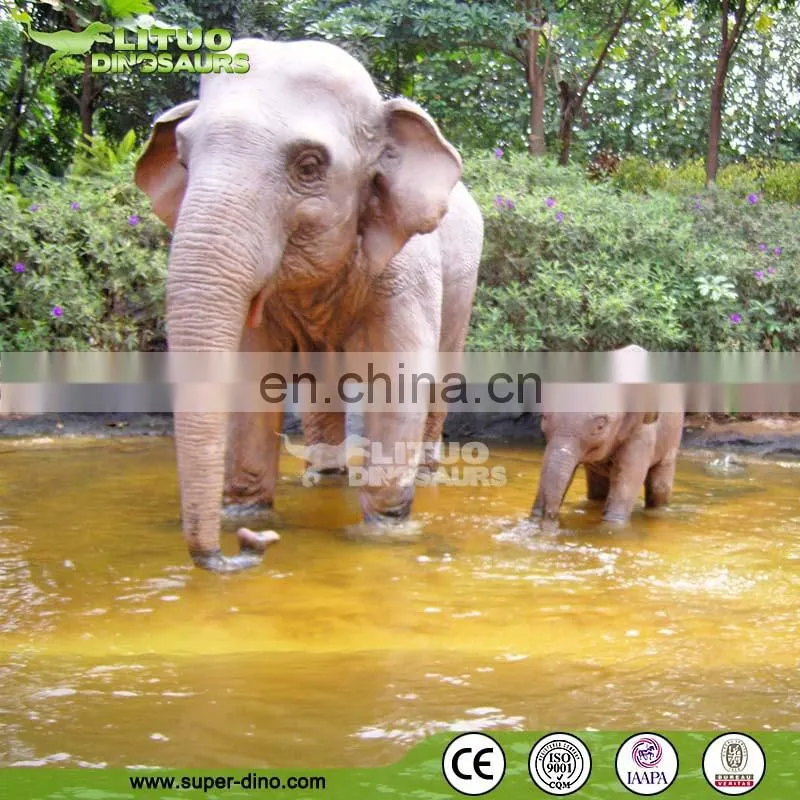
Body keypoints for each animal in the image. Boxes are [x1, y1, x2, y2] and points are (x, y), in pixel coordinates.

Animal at [134, 38, 483, 572]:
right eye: (184, 159)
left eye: (310, 165)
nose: (249, 545)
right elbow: (252, 375)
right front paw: (245, 513)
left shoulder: (407, 267)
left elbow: (400, 377)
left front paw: (384, 531)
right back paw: (323, 478)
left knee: (440, 377)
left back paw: (422, 476)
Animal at [531, 347, 685, 524]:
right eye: (544, 417)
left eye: (600, 425)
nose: (547, 515)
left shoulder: (642, 431)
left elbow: (628, 478)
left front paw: (613, 524)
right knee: (597, 491)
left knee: (659, 488)